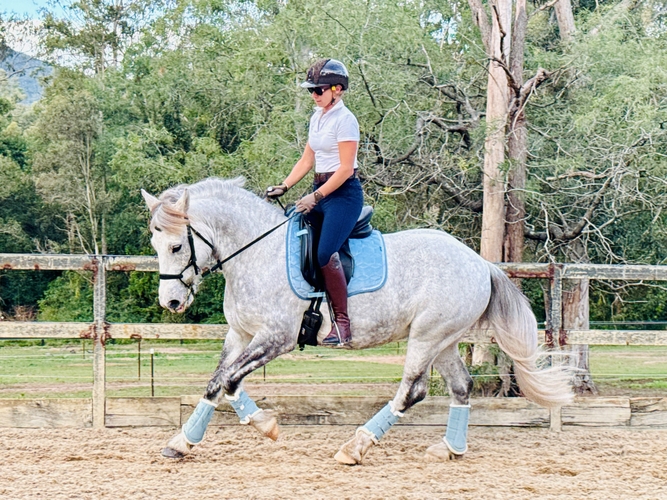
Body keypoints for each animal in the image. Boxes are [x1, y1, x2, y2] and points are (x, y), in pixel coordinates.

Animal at [141, 176, 573, 464]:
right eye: (154, 244)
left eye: (177, 246)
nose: (172, 302)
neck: (256, 252)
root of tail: (480, 262)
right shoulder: (240, 333)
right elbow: (216, 382)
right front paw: (182, 442)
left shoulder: (276, 337)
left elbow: (231, 380)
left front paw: (266, 425)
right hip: (444, 340)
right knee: (462, 386)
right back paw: (450, 448)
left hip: (426, 337)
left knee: (412, 391)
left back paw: (356, 446)